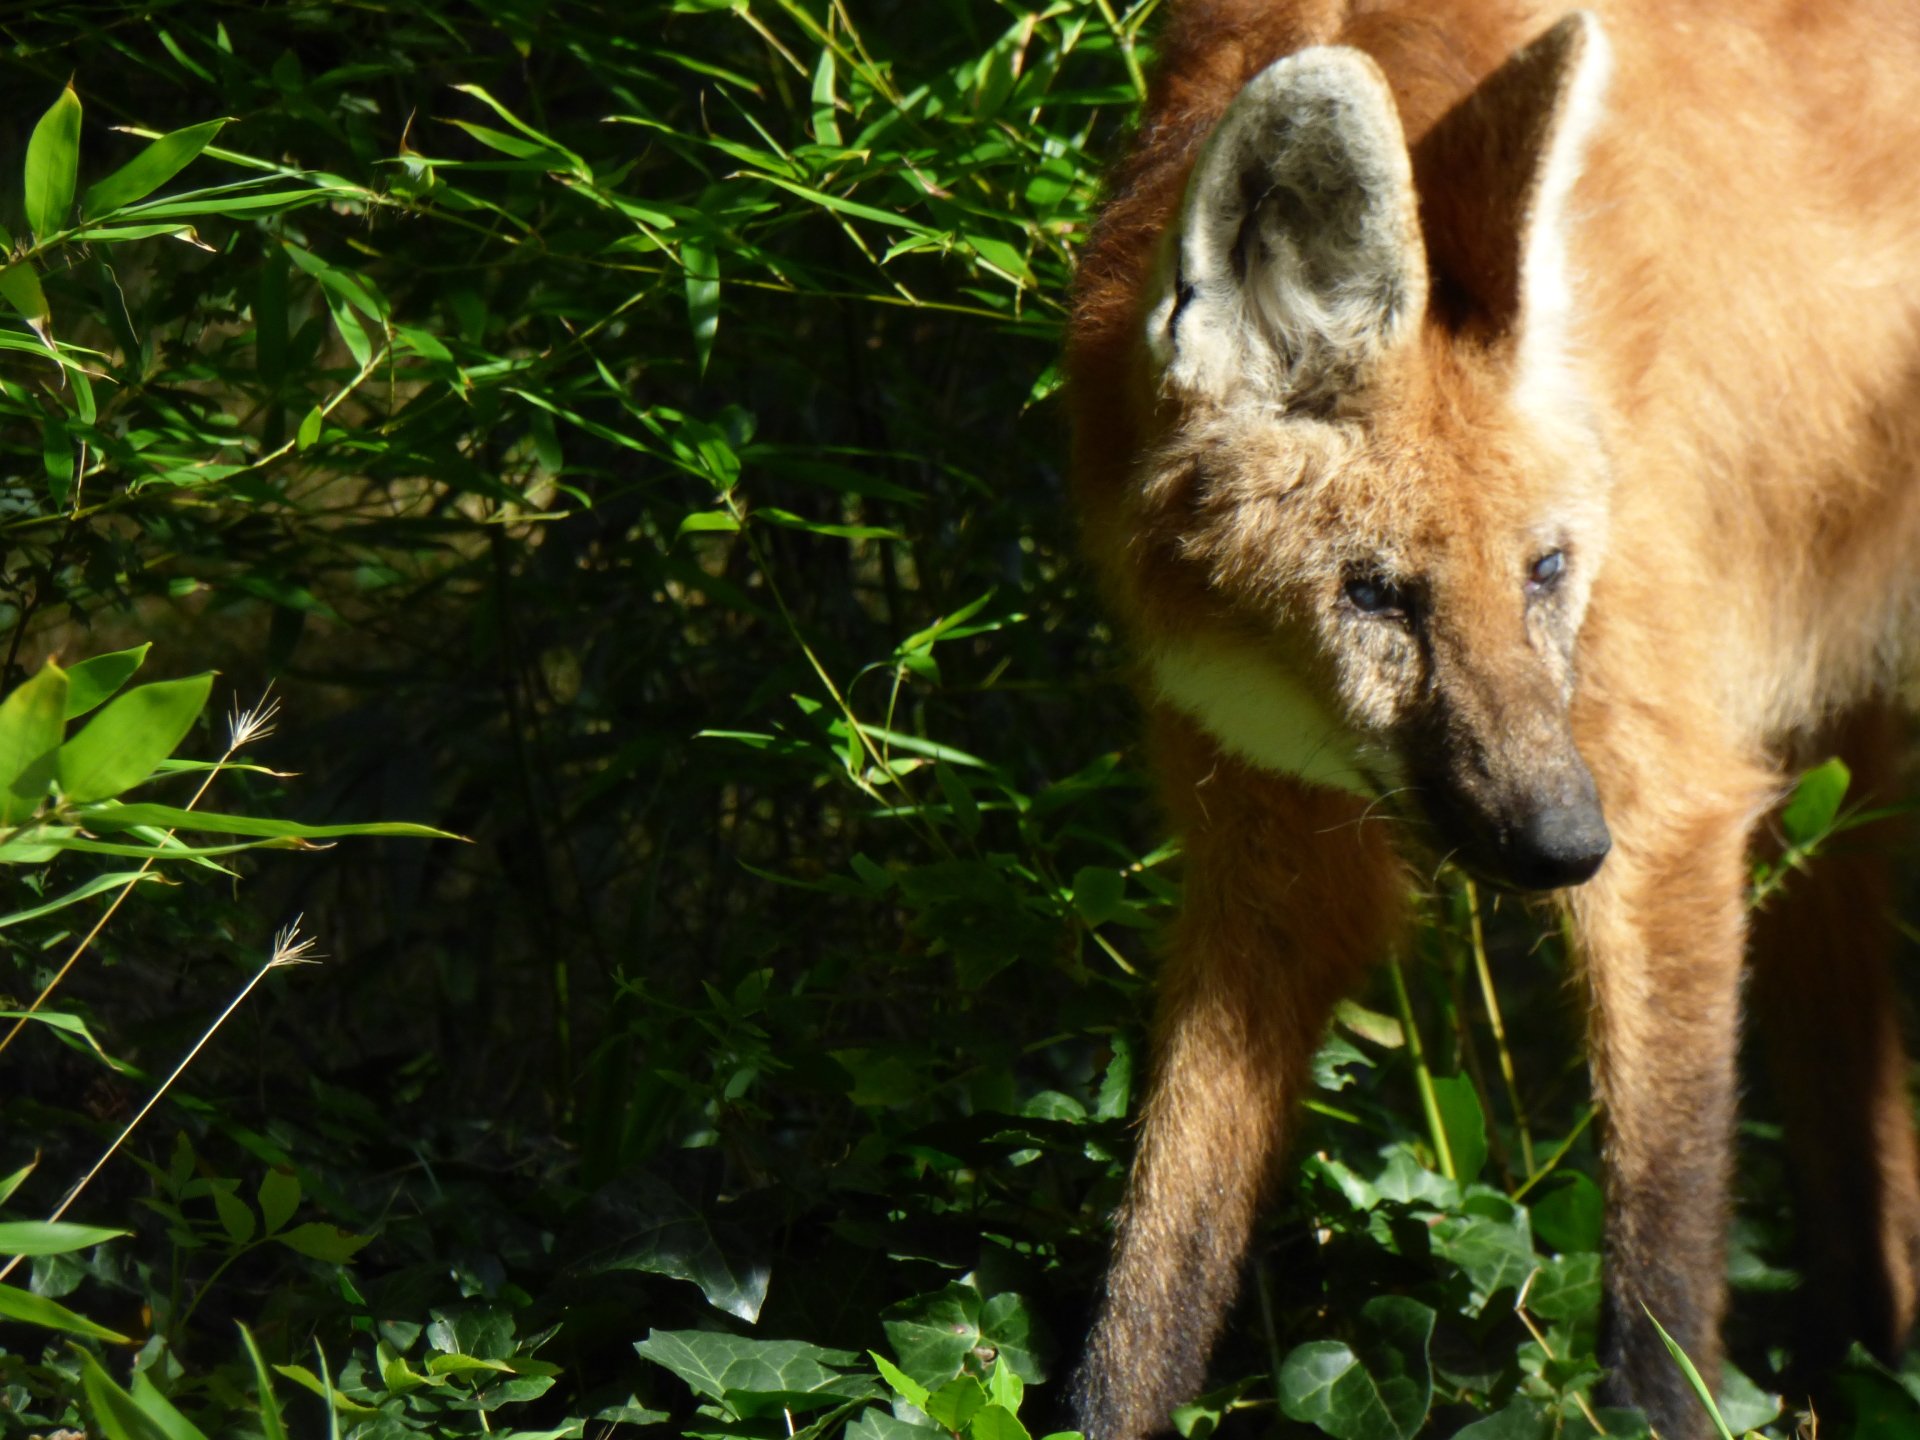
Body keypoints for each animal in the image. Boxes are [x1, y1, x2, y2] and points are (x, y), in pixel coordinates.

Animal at [1066, 2, 1920, 1437]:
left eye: (1544, 569)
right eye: (1373, 592)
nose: (1563, 846)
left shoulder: (1665, 798)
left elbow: (1661, 1294)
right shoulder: (1264, 835)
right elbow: (1153, 1281)